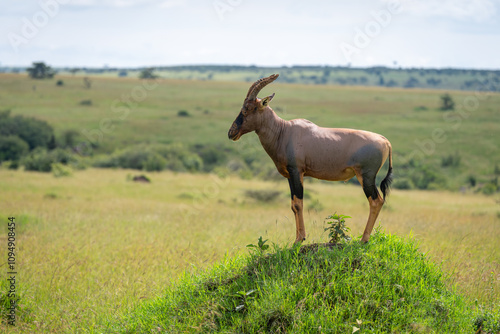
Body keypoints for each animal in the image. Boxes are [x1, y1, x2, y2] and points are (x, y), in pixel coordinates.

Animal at [228, 74, 394, 244]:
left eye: (247, 109)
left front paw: (299, 239)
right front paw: (298, 238)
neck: (284, 131)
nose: (231, 132)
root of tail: (385, 141)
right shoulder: (290, 175)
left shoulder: (297, 171)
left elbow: (298, 204)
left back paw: (364, 239)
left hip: (366, 177)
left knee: (376, 201)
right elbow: (293, 204)